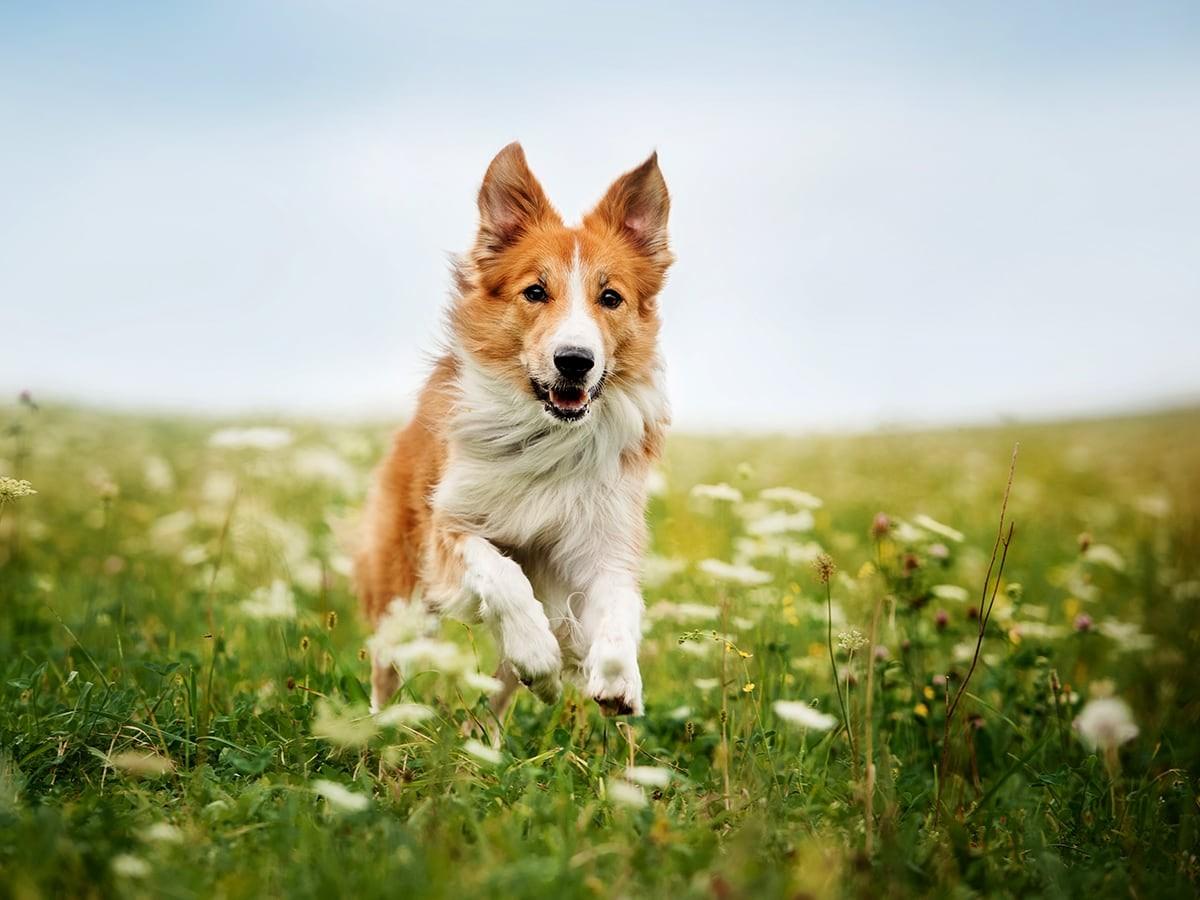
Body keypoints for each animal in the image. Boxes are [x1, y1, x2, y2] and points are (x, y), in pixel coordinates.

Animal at [355, 144, 676, 724]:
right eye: (535, 291)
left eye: (610, 297)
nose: (575, 361)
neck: (547, 436)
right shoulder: (449, 527)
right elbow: (502, 573)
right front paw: (537, 649)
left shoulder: (602, 542)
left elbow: (621, 603)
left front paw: (619, 678)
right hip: (400, 590)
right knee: (387, 669)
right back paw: (382, 728)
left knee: (499, 699)